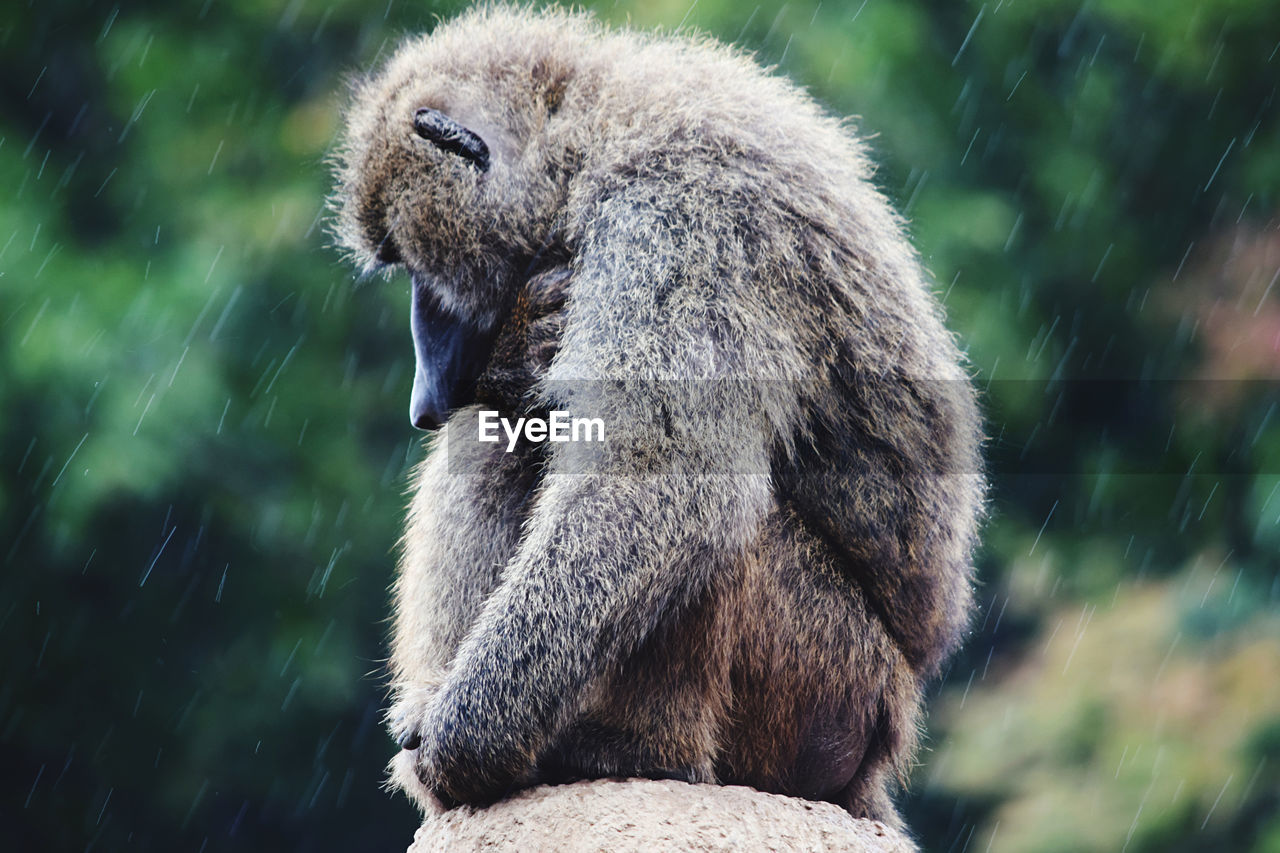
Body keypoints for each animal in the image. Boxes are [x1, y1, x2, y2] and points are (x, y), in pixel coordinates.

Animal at [330, 4, 977, 829]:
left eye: (414, 266)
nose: (423, 396)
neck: (596, 133)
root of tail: (881, 752)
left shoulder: (684, 217)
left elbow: (659, 478)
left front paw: (461, 737)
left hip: (828, 686)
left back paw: (631, 753)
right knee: (498, 434)